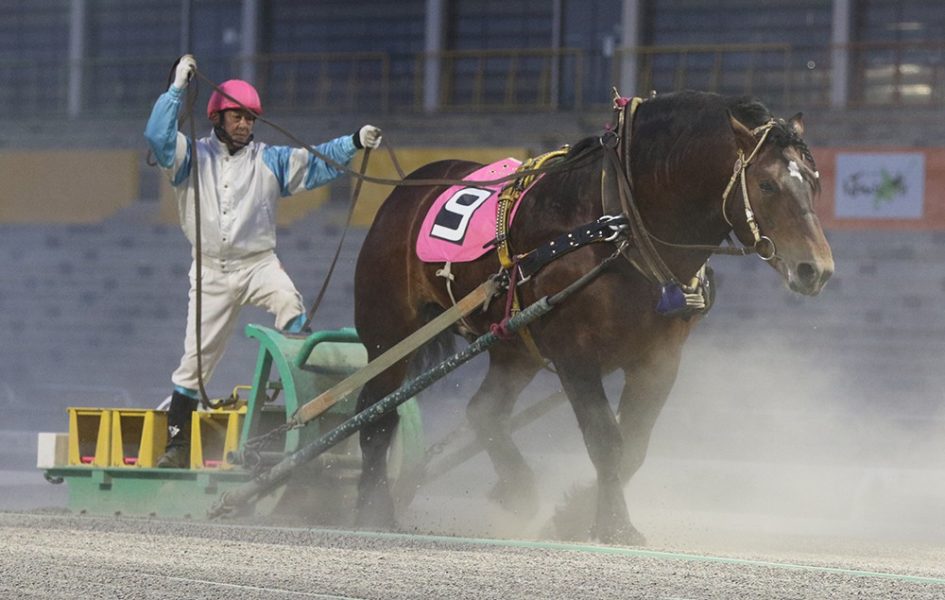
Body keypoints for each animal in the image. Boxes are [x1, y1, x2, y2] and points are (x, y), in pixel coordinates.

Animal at [350, 90, 828, 544]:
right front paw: (615, 523)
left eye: (814, 184)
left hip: (514, 345)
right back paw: (374, 510)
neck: (620, 227)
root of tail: (409, 188)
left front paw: (574, 516)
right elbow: (606, 440)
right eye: (766, 184)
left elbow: (634, 445)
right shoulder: (574, 355)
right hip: (388, 333)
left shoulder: (659, 360)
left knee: (484, 411)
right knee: (376, 416)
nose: (817, 269)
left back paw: (518, 488)